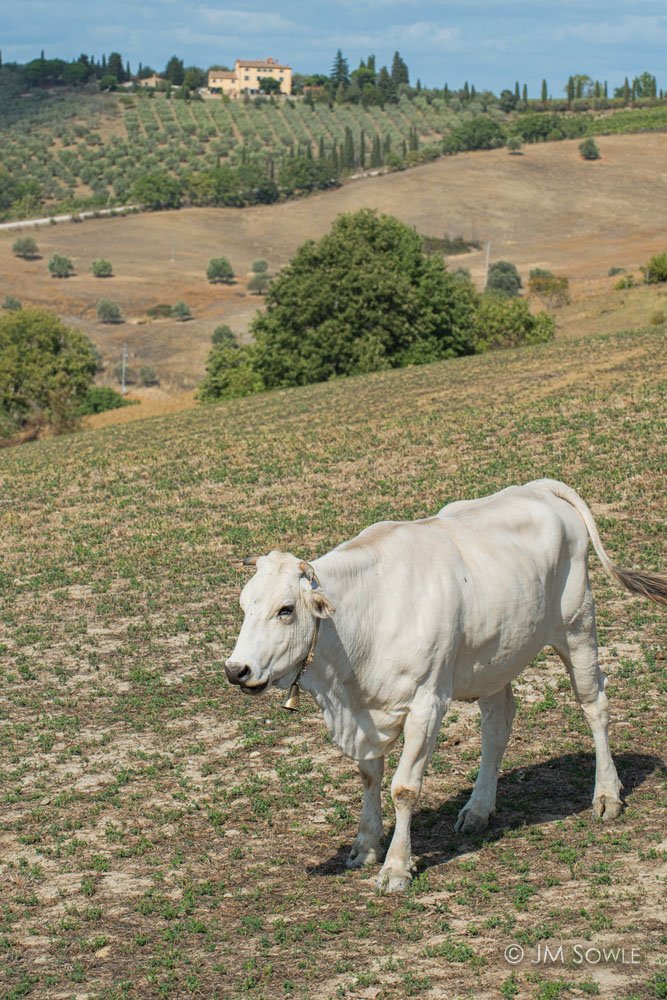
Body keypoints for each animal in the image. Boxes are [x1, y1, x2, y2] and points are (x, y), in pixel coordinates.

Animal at [226, 476, 667, 892]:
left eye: (285, 609)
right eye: (244, 606)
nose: (236, 669)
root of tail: (539, 488)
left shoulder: (427, 703)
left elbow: (404, 788)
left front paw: (396, 867)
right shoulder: (364, 711)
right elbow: (369, 776)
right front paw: (366, 846)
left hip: (577, 626)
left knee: (594, 705)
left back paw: (607, 795)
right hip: (496, 657)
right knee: (497, 724)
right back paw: (478, 809)